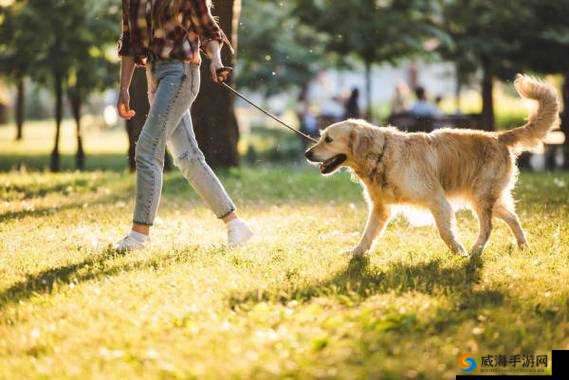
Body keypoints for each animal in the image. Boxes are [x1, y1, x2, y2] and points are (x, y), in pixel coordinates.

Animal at [306, 74, 560, 256]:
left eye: (328, 139)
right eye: (321, 136)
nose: (307, 153)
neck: (382, 156)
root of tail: (498, 136)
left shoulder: (437, 199)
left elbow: (445, 232)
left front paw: (459, 252)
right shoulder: (381, 208)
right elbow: (367, 234)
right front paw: (356, 253)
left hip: (481, 196)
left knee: (488, 227)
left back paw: (476, 252)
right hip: (485, 197)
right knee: (512, 217)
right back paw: (523, 246)